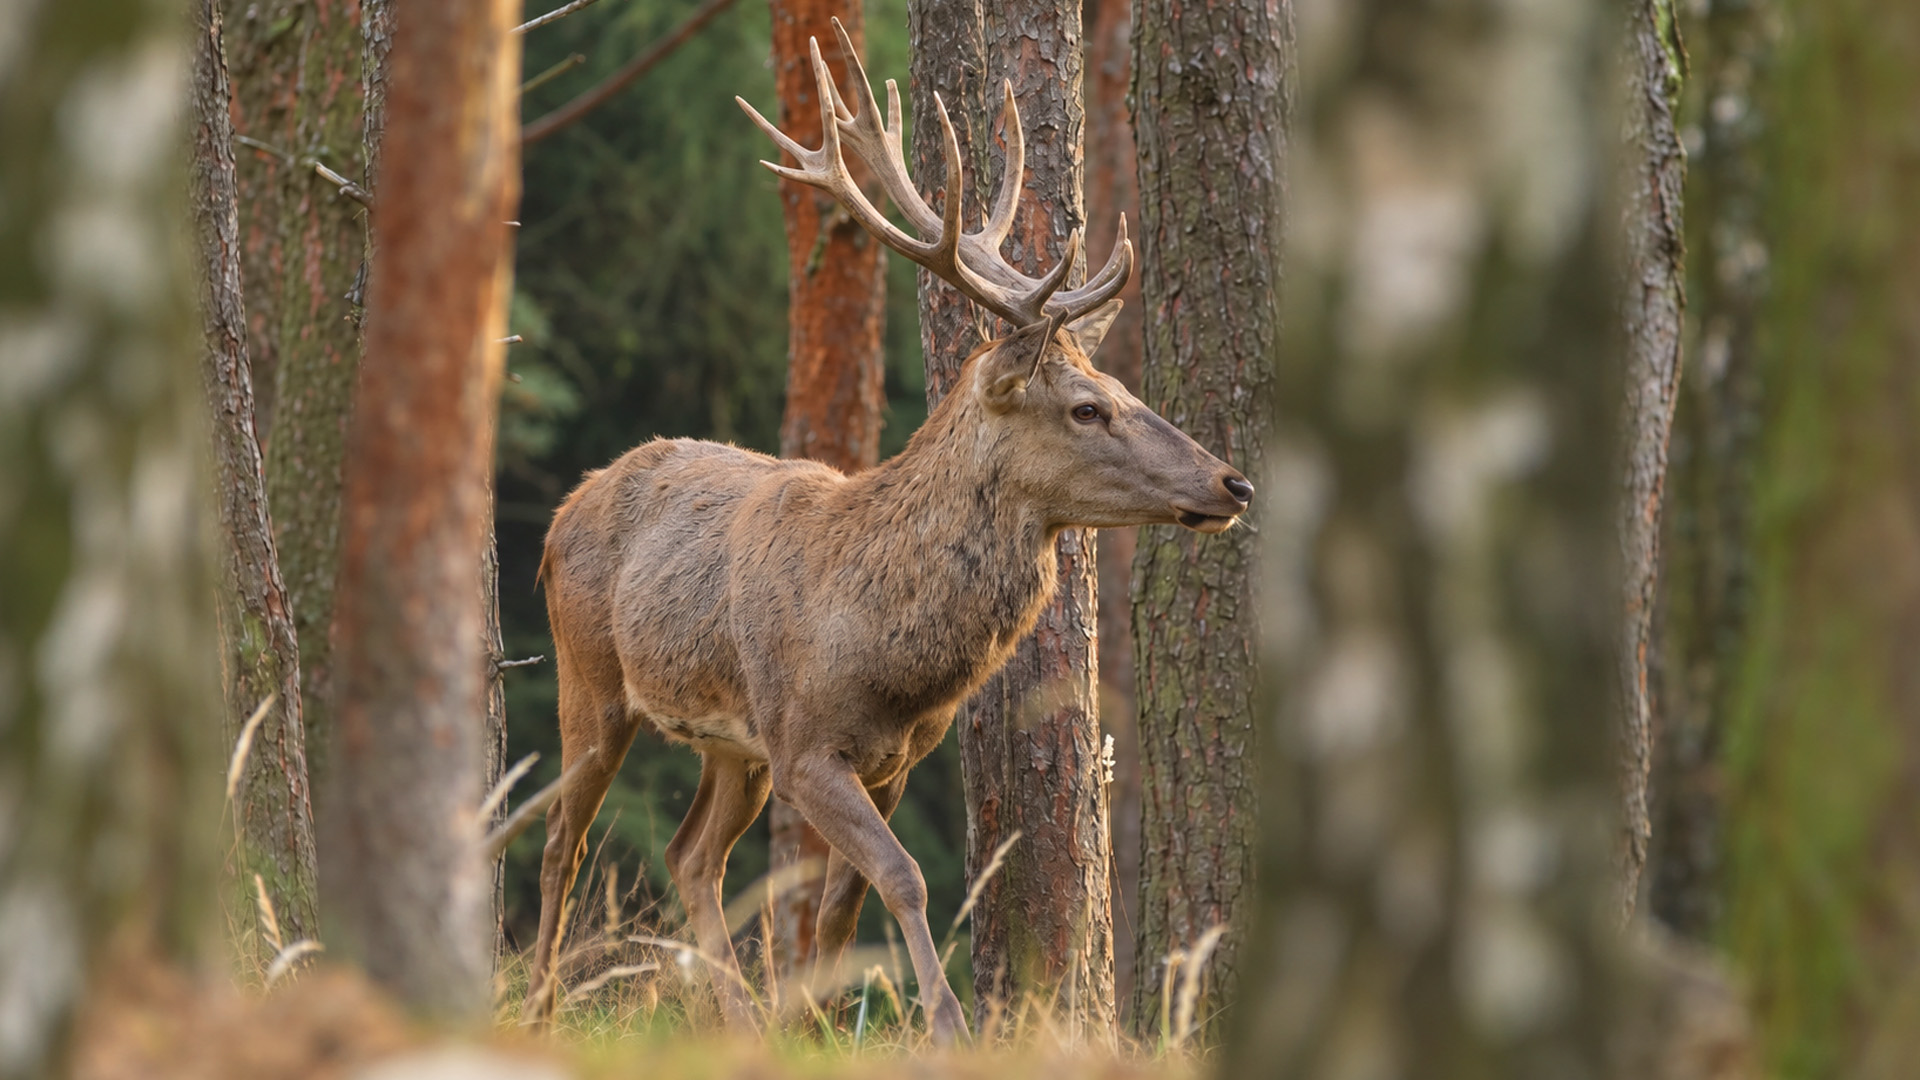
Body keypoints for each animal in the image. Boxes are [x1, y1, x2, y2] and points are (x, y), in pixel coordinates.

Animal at [520, 20, 1253, 1044]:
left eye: (1118, 388)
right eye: (1087, 407)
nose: (1233, 482)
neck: (887, 650)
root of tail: (566, 507)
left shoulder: (887, 761)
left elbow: (839, 908)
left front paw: (809, 1028)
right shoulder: (803, 743)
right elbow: (904, 879)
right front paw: (945, 1028)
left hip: (730, 745)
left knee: (689, 854)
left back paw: (737, 1017)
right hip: (592, 675)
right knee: (564, 836)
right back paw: (540, 1004)